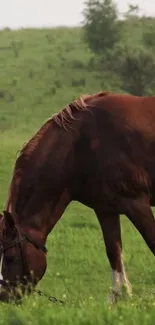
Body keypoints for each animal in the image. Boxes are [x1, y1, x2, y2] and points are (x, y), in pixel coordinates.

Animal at [0, 90, 155, 302]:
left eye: (10, 258)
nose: (4, 296)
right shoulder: (106, 209)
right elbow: (113, 252)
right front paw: (119, 296)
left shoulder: (136, 204)